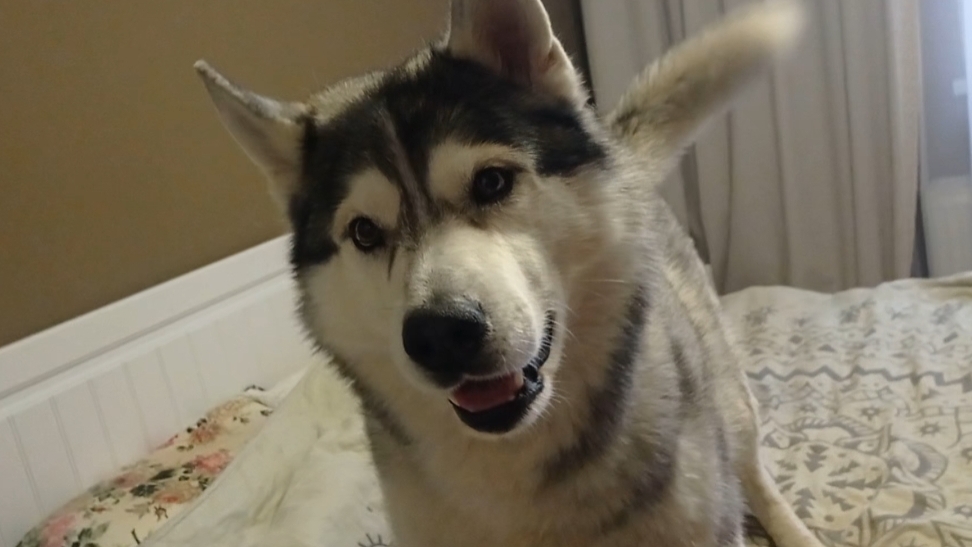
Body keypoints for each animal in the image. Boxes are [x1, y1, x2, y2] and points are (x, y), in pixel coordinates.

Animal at [195, 1, 825, 545]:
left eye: (492, 182)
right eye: (365, 233)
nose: (441, 334)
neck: (517, 466)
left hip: (728, 397)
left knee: (754, 471)